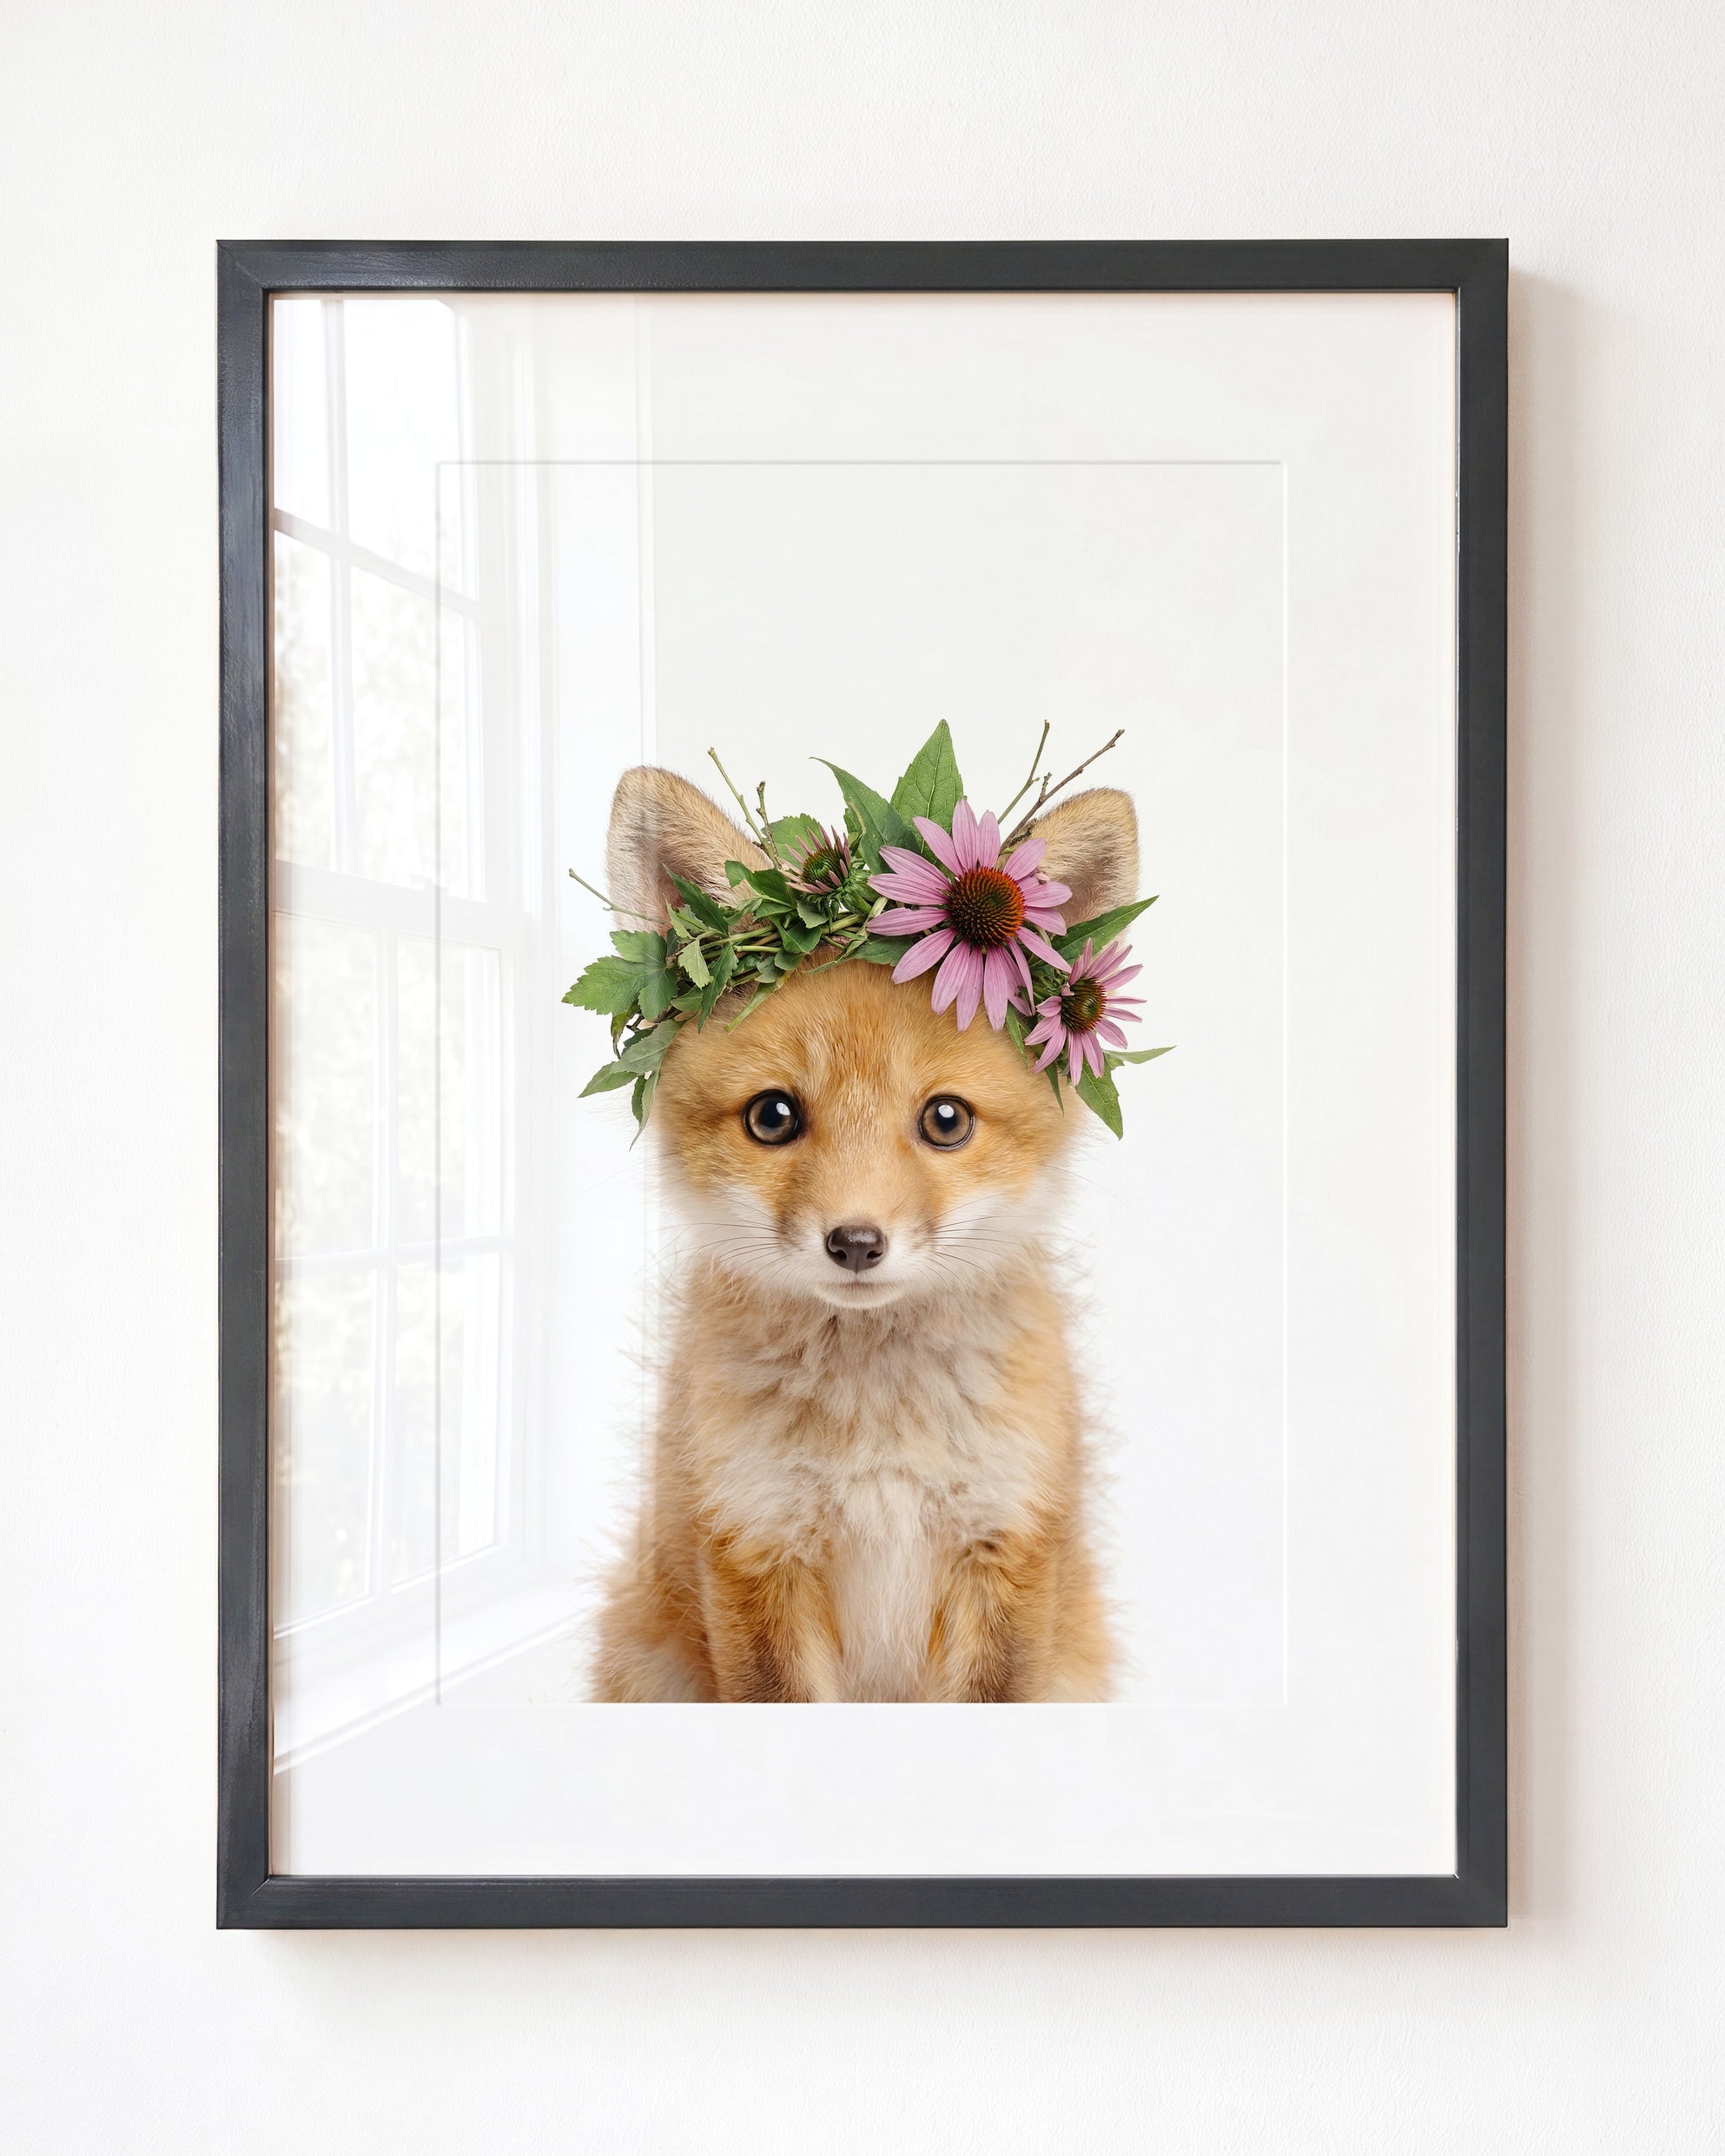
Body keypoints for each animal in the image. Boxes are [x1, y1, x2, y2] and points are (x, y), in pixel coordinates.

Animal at [589, 764, 1139, 1703]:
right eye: (773, 1117)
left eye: (946, 1120)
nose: (854, 1243)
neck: (877, 1442)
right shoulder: (754, 1545)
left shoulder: (1006, 1545)